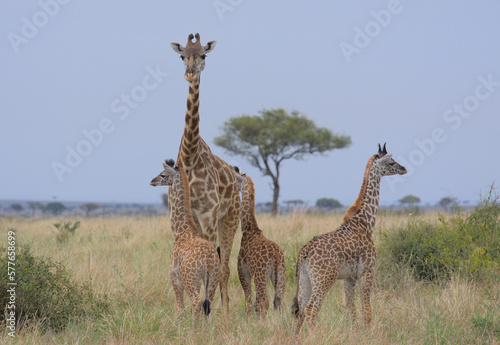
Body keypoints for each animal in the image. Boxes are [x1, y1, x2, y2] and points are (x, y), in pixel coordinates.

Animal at [148, 160, 219, 324]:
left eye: (163, 174)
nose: (152, 181)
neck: (181, 230)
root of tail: (208, 259)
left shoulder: (174, 274)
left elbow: (179, 308)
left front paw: (178, 326)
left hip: (189, 278)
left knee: (196, 301)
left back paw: (193, 329)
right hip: (212, 277)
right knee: (208, 304)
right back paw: (207, 328)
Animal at [165, 34, 241, 312]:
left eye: (203, 55)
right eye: (182, 55)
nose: (190, 73)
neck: (189, 157)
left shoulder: (208, 216)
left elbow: (214, 267)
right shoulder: (187, 220)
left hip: (230, 218)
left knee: (226, 268)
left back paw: (227, 312)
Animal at [231, 167, 284, 318]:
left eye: (236, 178)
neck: (248, 230)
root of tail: (276, 257)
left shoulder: (243, 272)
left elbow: (248, 300)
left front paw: (249, 320)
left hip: (260, 276)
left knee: (264, 300)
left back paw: (262, 321)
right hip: (280, 275)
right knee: (279, 300)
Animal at [292, 143, 406, 334]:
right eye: (391, 161)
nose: (403, 168)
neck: (366, 223)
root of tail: (304, 252)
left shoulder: (349, 277)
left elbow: (350, 309)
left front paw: (354, 333)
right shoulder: (367, 271)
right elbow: (366, 310)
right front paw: (368, 334)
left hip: (305, 278)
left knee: (300, 309)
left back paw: (296, 337)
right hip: (324, 278)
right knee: (311, 309)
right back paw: (314, 336)